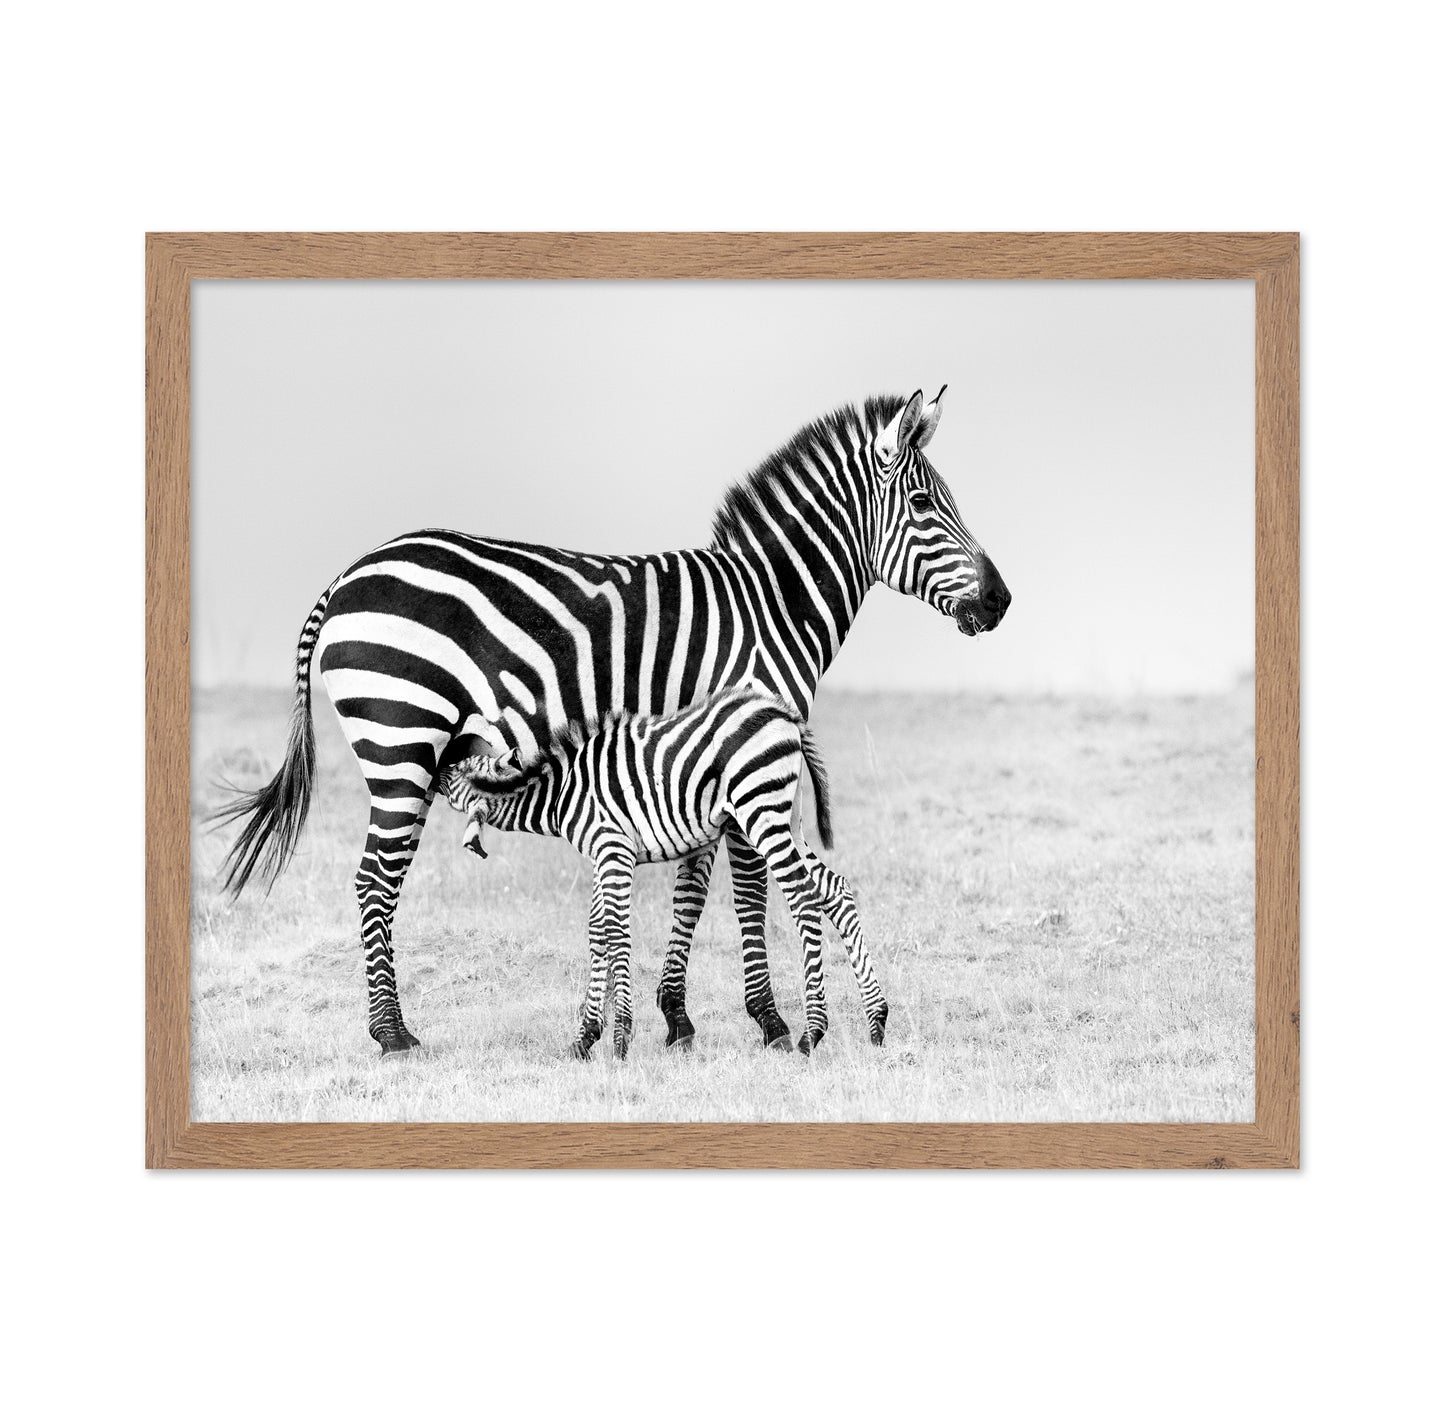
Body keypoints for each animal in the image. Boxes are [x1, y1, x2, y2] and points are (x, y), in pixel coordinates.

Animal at [439, 690, 886, 1058]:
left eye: (455, 769)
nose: (438, 758)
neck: (564, 793)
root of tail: (783, 712)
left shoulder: (613, 849)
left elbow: (615, 933)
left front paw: (620, 1040)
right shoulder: (605, 855)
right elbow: (597, 930)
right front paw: (584, 1038)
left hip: (761, 812)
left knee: (802, 896)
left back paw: (813, 1032)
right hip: (787, 817)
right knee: (834, 889)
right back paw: (877, 1022)